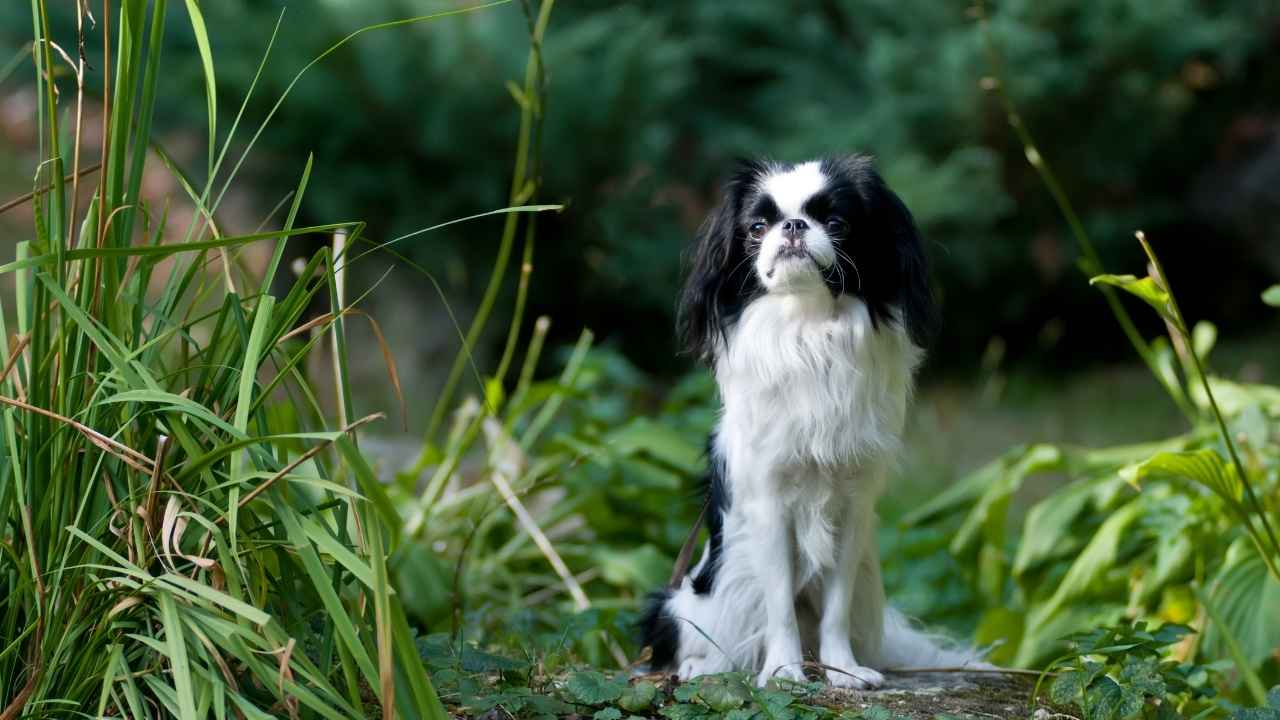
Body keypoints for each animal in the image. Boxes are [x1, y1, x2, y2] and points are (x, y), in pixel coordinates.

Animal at [645, 155, 983, 681]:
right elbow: (779, 604)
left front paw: (843, 671)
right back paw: (705, 666)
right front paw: (785, 672)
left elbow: (835, 607)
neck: (808, 324)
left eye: (837, 224)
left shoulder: (853, 508)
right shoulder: (769, 505)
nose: (793, 226)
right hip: (693, 600)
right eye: (757, 227)